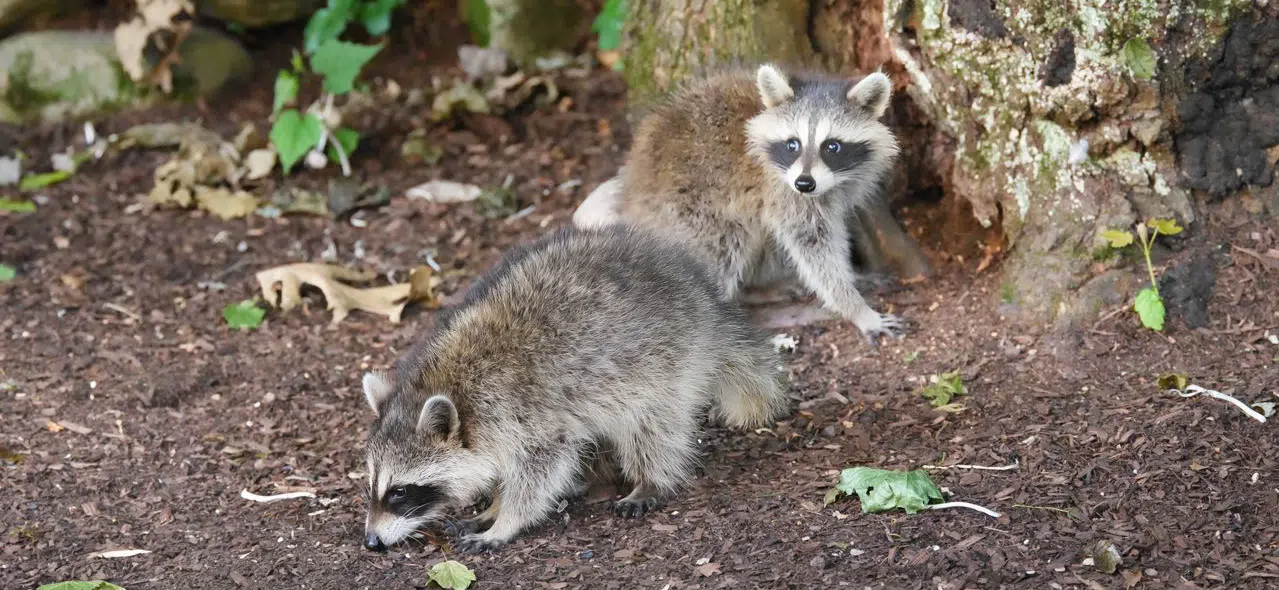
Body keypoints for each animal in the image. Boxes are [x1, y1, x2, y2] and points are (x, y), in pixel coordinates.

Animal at [360, 225, 789, 554]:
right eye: (373, 485)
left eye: (399, 492)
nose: (372, 542)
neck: (451, 386)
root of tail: (707, 301)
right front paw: (494, 505)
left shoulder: (525, 413)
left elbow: (538, 472)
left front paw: (506, 519)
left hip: (662, 362)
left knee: (650, 426)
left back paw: (650, 478)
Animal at [573, 64, 909, 344]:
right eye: (793, 144)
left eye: (832, 146)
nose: (805, 183)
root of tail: (632, 191)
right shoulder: (781, 191)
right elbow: (814, 249)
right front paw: (855, 307)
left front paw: (855, 277)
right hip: (688, 207)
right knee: (721, 249)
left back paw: (759, 287)